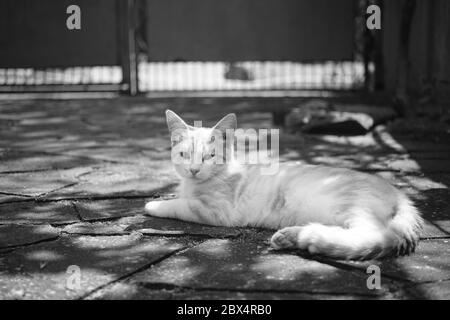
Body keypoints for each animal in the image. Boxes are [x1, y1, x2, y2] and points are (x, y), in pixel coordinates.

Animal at [146, 110, 424, 260]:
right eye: (184, 155)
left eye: (209, 157)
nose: (193, 170)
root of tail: (400, 194)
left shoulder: (215, 211)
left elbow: (179, 205)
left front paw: (153, 205)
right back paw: (291, 237)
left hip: (355, 209)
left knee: (373, 235)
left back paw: (308, 238)